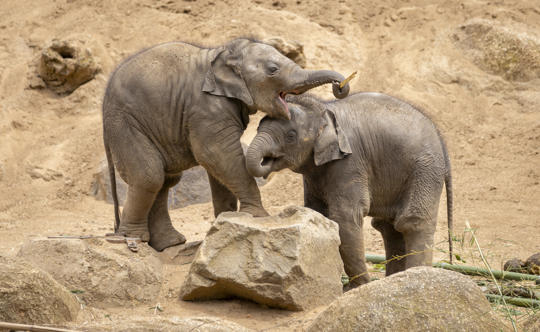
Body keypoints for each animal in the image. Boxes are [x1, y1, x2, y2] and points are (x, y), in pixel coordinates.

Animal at [247, 92, 454, 288]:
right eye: (257, 128)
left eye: (290, 136)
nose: (265, 163)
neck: (325, 108)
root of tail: (442, 142)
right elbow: (317, 212)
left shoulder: (350, 162)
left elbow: (344, 217)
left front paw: (357, 287)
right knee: (389, 227)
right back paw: (393, 280)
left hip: (425, 170)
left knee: (413, 223)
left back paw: (415, 275)